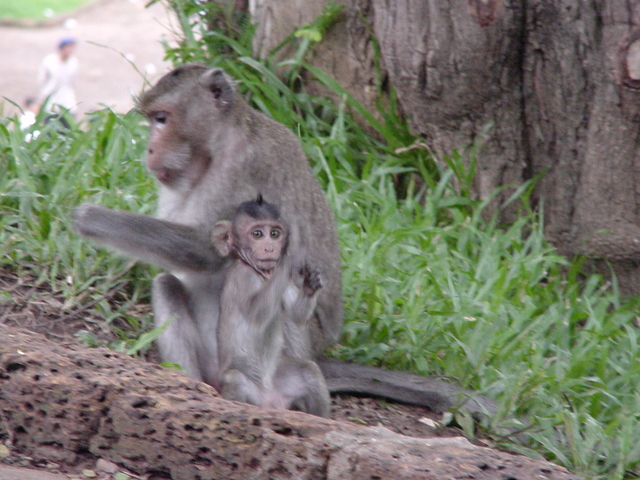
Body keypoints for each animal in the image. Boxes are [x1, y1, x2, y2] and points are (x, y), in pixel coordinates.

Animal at [212, 195, 330, 416]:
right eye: (257, 234)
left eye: (275, 234)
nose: (270, 248)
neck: (262, 274)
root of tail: (269, 401)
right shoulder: (244, 276)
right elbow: (256, 314)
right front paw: (291, 258)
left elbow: (296, 316)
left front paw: (311, 283)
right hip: (244, 388)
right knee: (237, 379)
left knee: (308, 370)